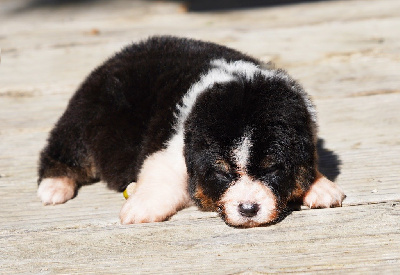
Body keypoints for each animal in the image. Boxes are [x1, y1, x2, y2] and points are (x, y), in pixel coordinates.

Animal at [36, 36, 346, 229]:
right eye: (222, 173)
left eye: (272, 169)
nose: (248, 209)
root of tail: (113, 60)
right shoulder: (171, 151)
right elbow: (161, 178)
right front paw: (138, 209)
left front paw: (321, 186)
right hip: (83, 118)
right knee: (63, 149)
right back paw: (54, 187)